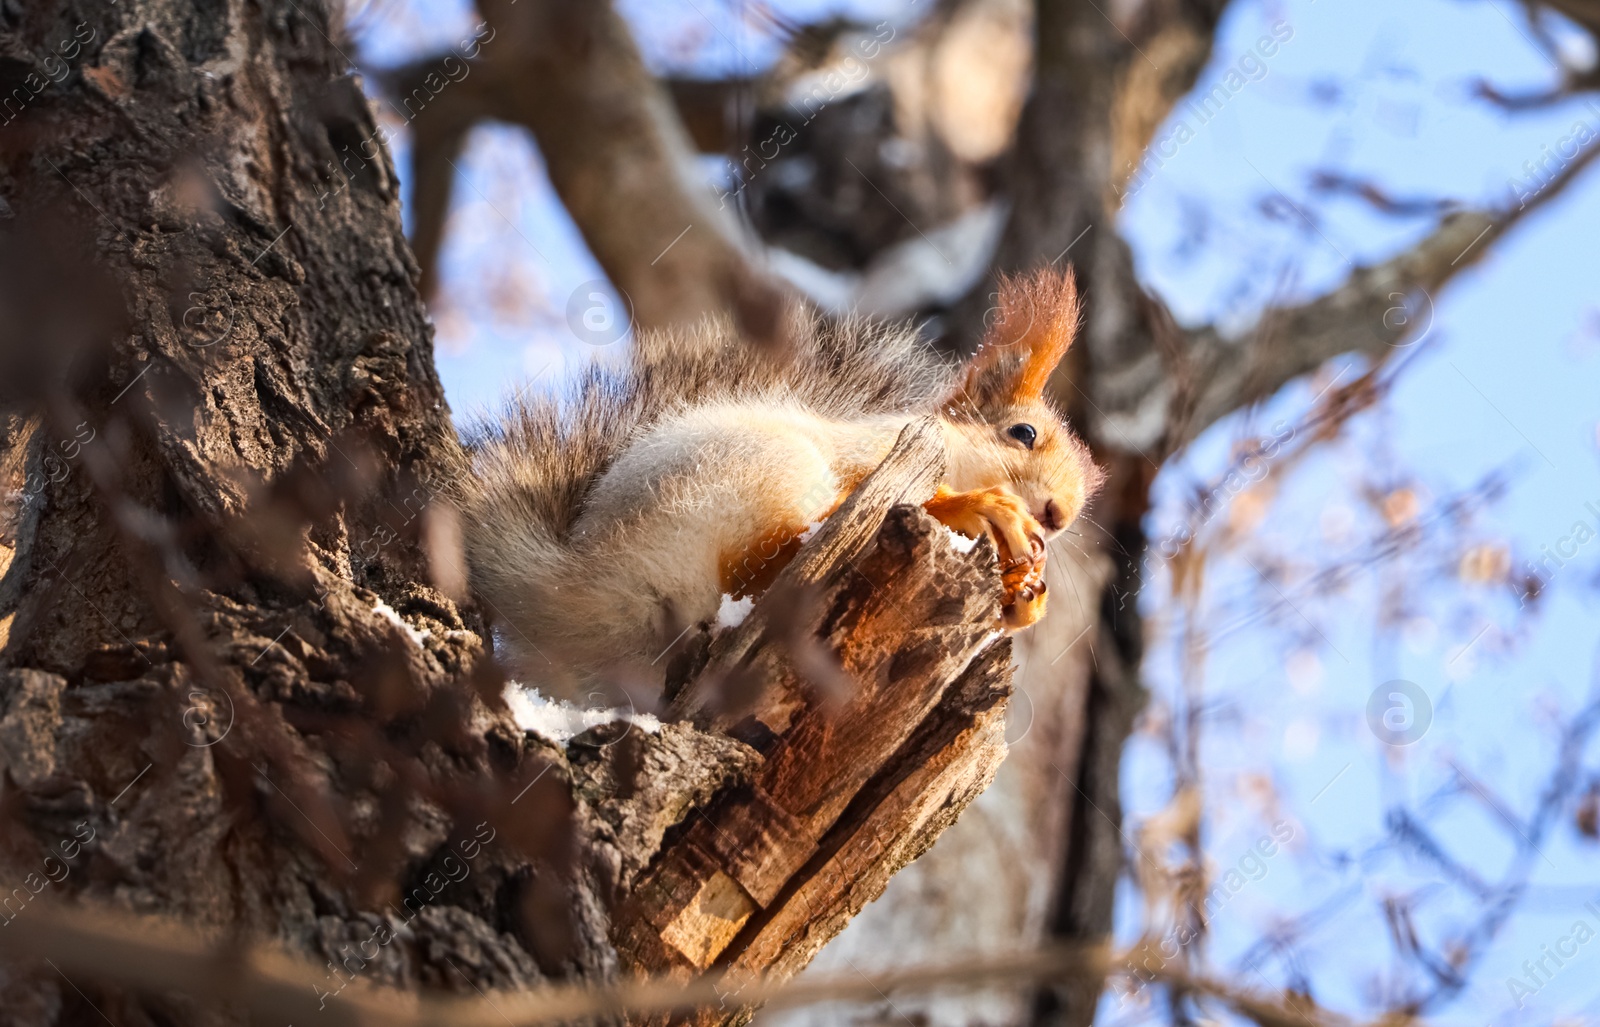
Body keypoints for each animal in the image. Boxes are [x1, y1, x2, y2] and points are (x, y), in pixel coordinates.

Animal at [457, 268, 1107, 697]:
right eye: (1023, 432)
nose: (1057, 516)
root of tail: (581, 586)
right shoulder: (883, 447)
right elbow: (903, 491)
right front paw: (980, 509)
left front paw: (1026, 595)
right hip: (755, 476)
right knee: (777, 551)